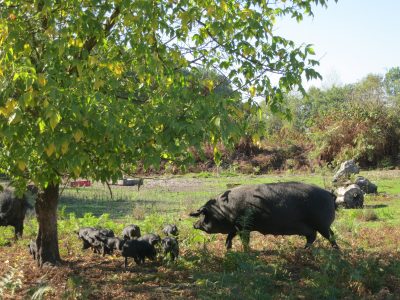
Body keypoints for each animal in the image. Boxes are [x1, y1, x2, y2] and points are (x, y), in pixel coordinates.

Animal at [189, 182, 340, 250]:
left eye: (204, 214)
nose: (194, 224)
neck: (224, 210)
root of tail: (329, 194)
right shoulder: (236, 227)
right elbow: (230, 236)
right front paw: (228, 248)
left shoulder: (244, 225)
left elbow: (244, 239)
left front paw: (247, 250)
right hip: (314, 227)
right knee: (313, 236)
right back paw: (303, 250)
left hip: (322, 224)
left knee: (330, 235)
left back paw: (336, 250)